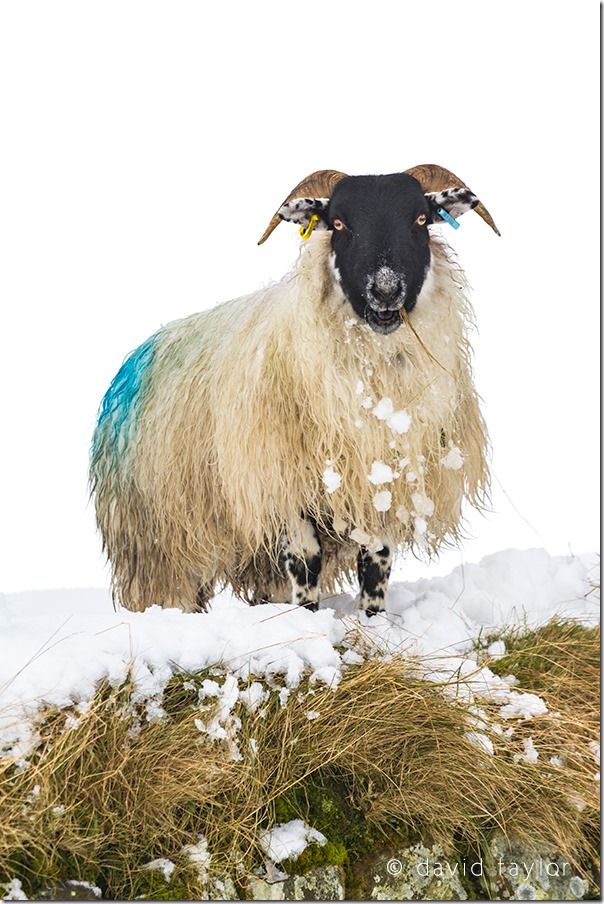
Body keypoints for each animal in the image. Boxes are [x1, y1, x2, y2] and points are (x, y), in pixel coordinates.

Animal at [88, 164, 496, 616]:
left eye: (421, 219)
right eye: (339, 224)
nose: (386, 291)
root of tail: (139, 353)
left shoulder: (382, 479)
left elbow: (377, 561)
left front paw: (372, 620)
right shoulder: (283, 485)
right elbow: (305, 562)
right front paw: (306, 619)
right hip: (159, 542)